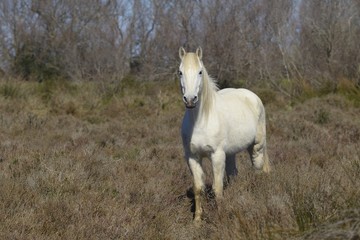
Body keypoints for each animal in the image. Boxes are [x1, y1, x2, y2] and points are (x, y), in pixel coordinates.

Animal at [179, 47, 268, 221]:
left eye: (200, 72)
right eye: (180, 72)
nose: (190, 100)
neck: (200, 121)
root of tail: (252, 96)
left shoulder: (217, 155)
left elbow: (217, 189)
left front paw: (220, 217)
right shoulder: (192, 157)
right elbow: (198, 188)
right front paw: (197, 220)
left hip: (257, 146)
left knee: (258, 167)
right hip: (231, 153)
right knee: (233, 174)